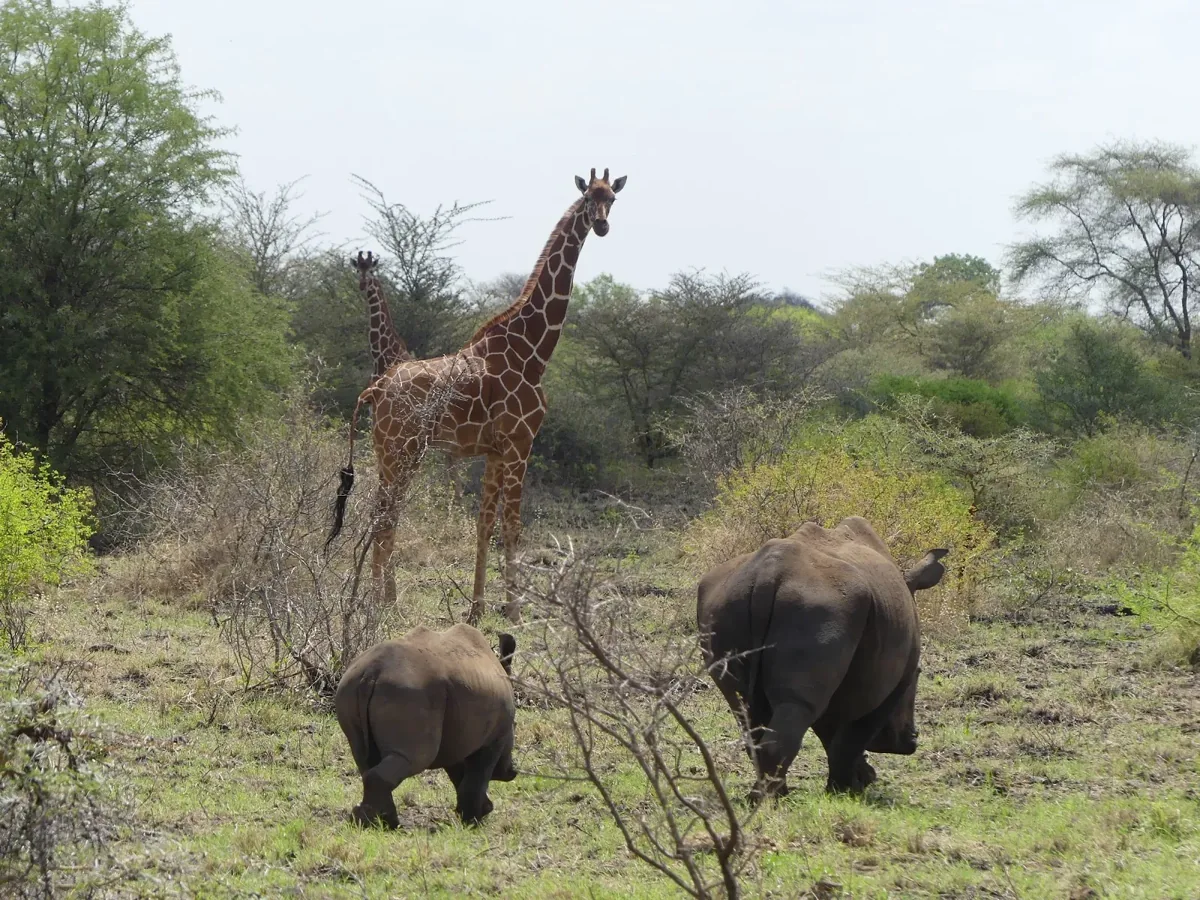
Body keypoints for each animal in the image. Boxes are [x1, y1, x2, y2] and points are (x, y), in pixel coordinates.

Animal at [328, 168, 627, 624]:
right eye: (587, 197)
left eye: (612, 197)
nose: (602, 225)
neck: (533, 350)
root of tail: (377, 387)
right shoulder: (521, 443)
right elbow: (513, 525)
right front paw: (515, 610)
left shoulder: (496, 450)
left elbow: (485, 523)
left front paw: (478, 608)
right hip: (403, 450)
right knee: (384, 514)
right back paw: (380, 602)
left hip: (388, 451)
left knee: (383, 513)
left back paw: (374, 598)